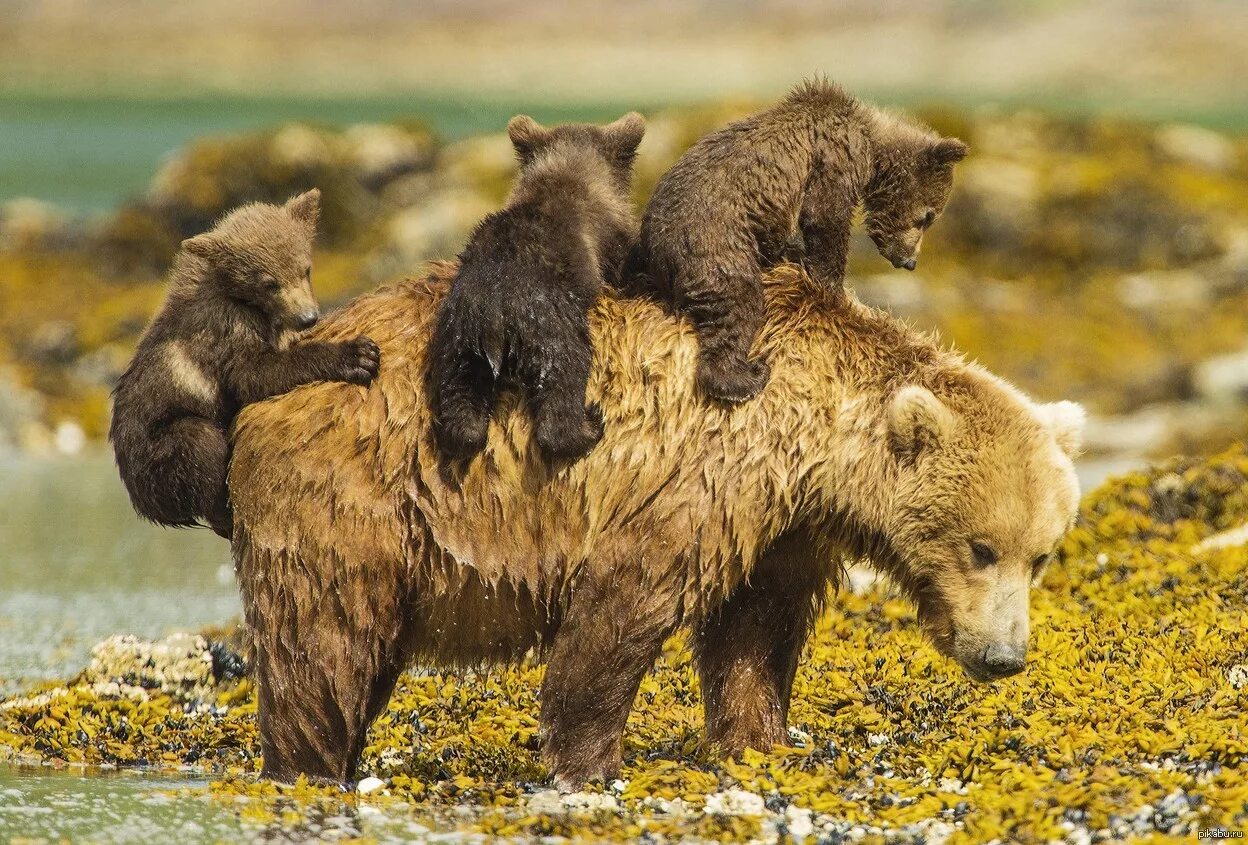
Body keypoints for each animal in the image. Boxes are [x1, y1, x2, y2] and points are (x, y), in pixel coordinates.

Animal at [229, 260, 1088, 788]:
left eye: (1042, 555)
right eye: (981, 546)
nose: (1004, 656)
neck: (815, 444)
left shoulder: (782, 527)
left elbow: (754, 630)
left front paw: (764, 738)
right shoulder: (701, 473)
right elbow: (625, 604)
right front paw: (591, 759)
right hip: (357, 496)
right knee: (324, 642)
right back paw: (310, 764)